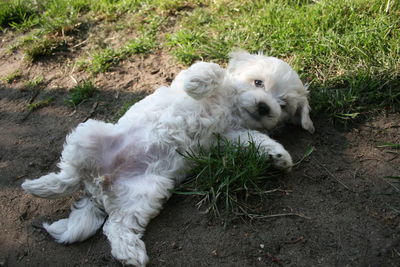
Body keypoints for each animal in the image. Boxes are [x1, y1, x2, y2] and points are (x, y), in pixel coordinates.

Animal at [21, 50, 314, 267]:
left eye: (283, 105)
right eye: (258, 82)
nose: (265, 106)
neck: (231, 108)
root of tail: (99, 184)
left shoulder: (231, 136)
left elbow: (256, 140)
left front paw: (278, 156)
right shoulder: (196, 84)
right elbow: (211, 70)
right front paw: (198, 84)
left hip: (145, 193)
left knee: (116, 226)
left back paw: (131, 253)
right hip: (89, 133)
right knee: (68, 175)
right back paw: (39, 186)